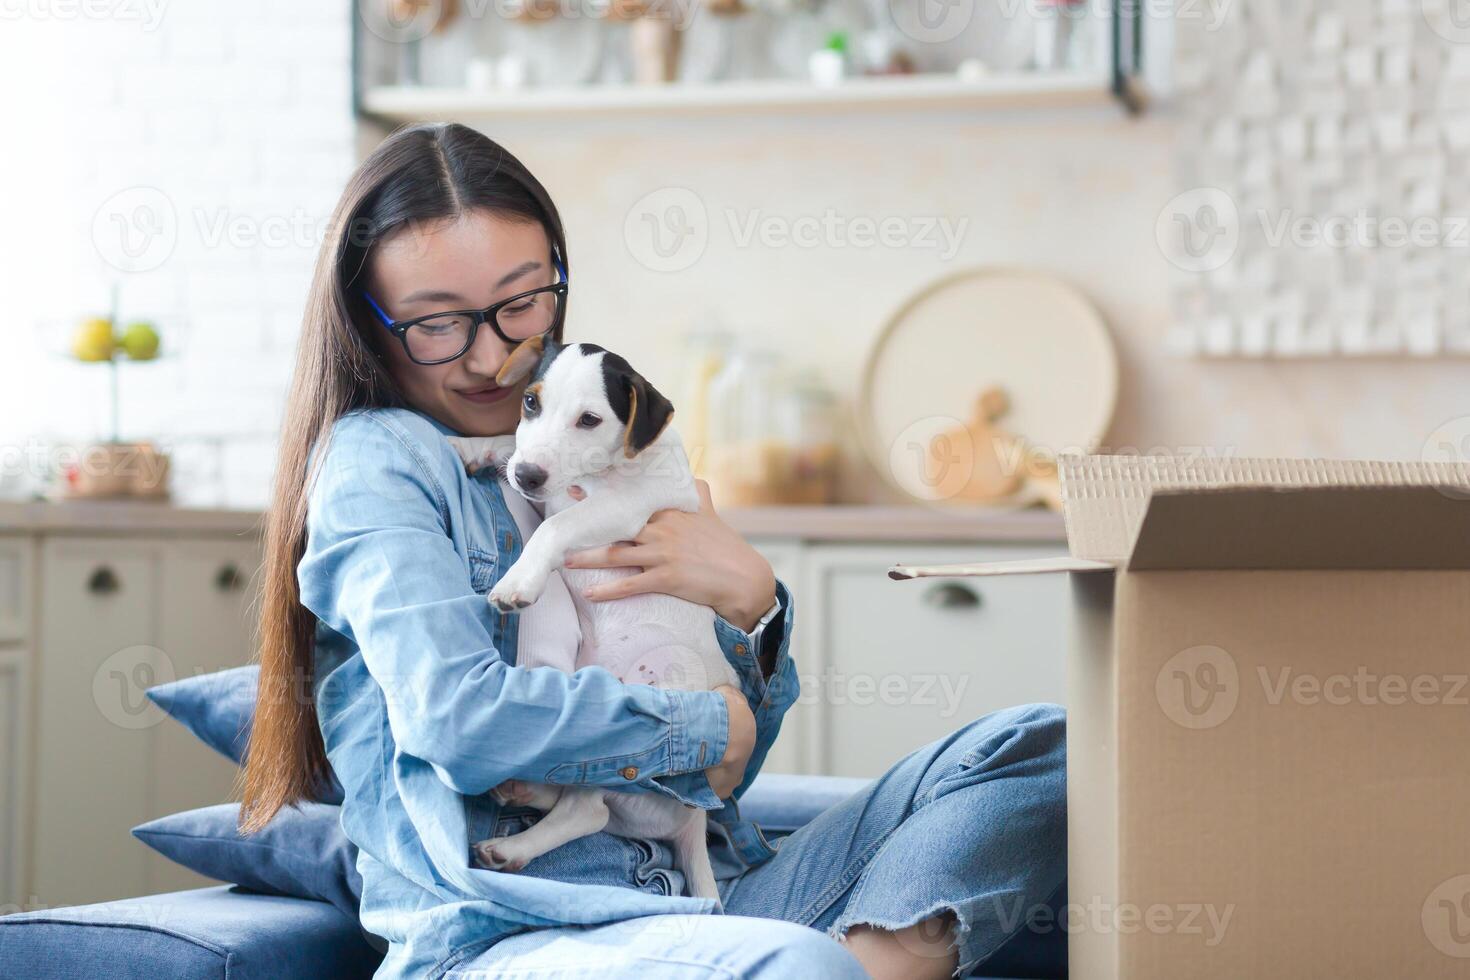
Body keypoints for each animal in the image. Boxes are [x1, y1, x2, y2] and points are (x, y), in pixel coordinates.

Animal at [443, 337, 746, 910]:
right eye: (530, 402)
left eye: (589, 419)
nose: (528, 478)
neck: (601, 471)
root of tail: (694, 820)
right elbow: (511, 442)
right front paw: (473, 446)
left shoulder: (622, 511)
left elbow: (556, 525)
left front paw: (519, 581)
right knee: (583, 794)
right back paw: (523, 791)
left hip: (636, 701)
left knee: (589, 809)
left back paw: (512, 848)